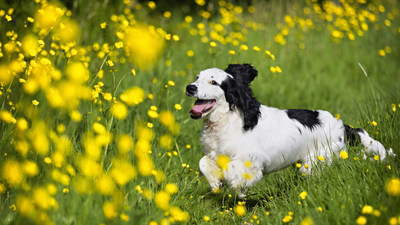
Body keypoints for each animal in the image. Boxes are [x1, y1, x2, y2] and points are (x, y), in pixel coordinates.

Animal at [186, 62, 396, 197]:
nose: (190, 87)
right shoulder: (215, 152)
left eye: (213, 82)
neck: (228, 120)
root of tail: (343, 127)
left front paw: (238, 187)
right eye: (197, 77)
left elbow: (231, 169)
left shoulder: (253, 158)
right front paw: (216, 182)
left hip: (315, 162)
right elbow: (203, 162)